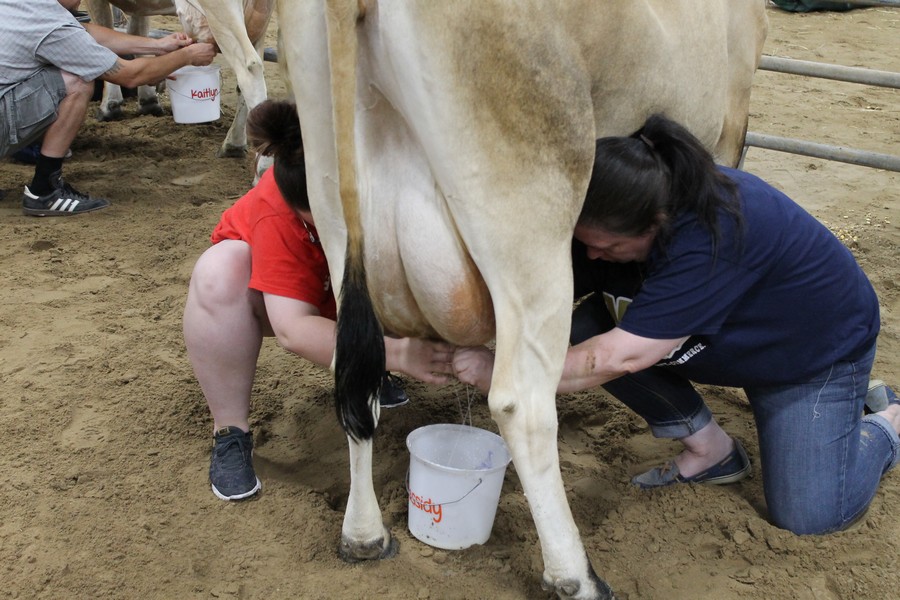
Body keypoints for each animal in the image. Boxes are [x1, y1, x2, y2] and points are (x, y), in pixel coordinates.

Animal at [84, 0, 274, 157]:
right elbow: (138, 33)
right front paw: (148, 101)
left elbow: (104, 33)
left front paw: (109, 106)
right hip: (259, 20)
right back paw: (233, 145)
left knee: (250, 73)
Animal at [280, 1, 768, 600]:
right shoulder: (728, 129)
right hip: (528, 221)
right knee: (522, 405)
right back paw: (576, 575)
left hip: (331, 203)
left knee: (353, 380)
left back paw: (365, 536)